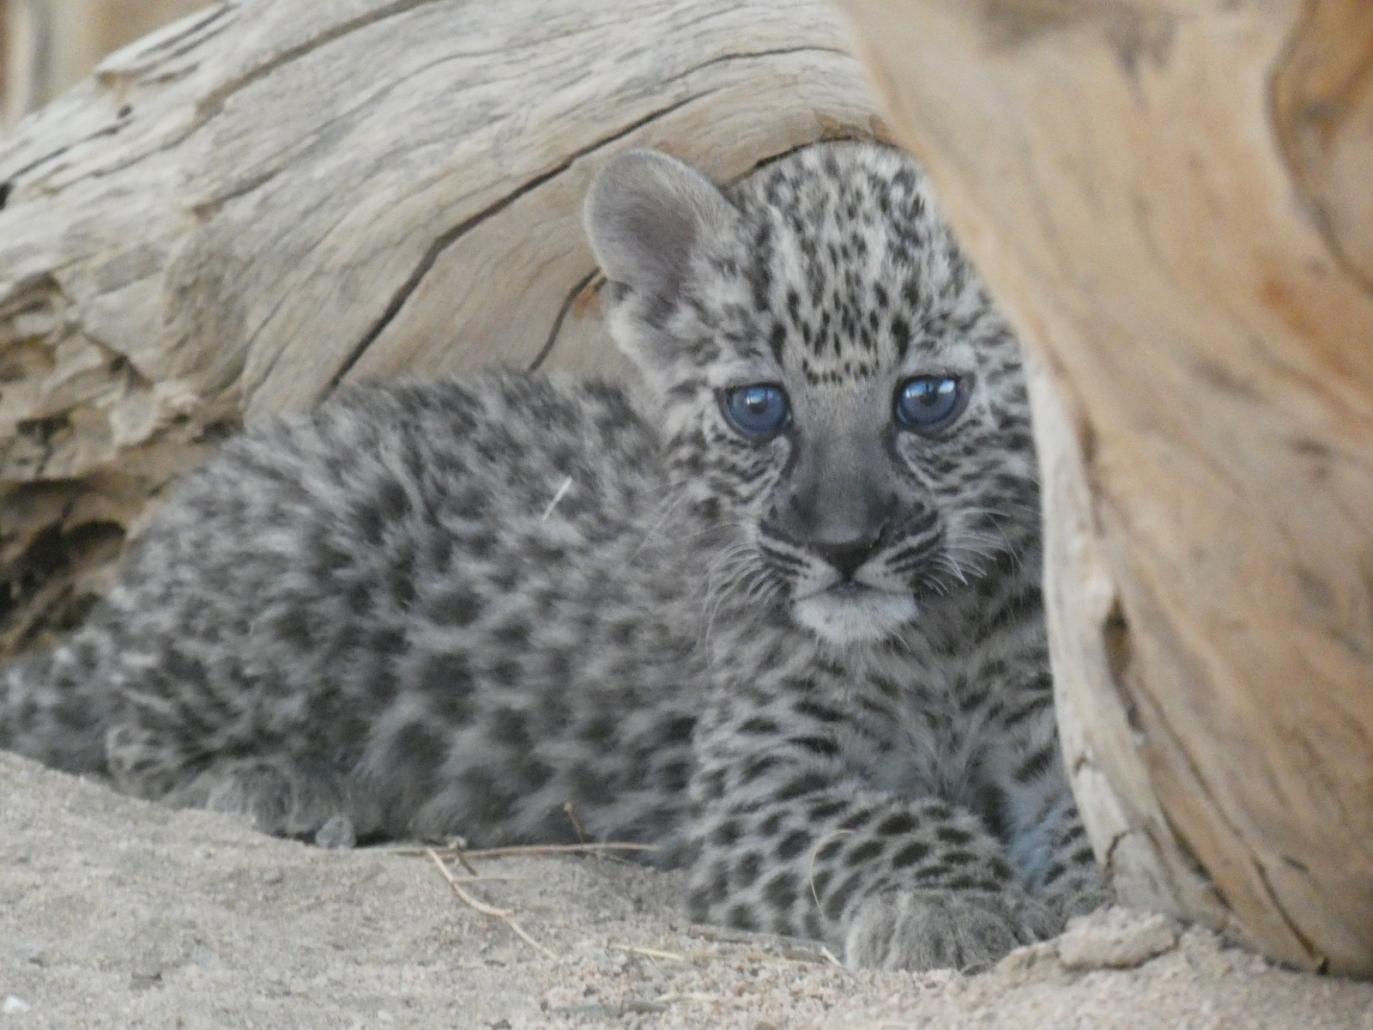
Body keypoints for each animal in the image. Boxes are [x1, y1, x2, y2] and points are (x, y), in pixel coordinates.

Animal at [0, 141, 1107, 971]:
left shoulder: (1055, 738)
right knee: (132, 731)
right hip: (308, 540)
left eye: (928, 398)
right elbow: (893, 821)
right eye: (758, 408)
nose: (840, 547)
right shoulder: (757, 786)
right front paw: (948, 905)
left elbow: (1100, 835)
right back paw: (283, 785)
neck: (936, 638)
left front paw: (1081, 899)